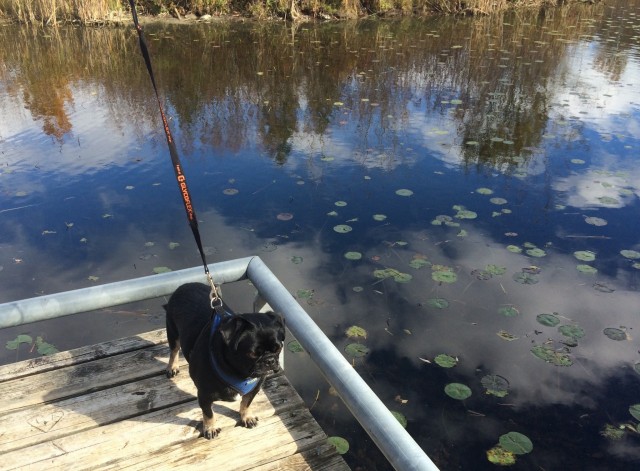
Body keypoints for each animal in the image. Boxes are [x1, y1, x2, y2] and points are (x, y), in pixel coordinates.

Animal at [165, 282, 284, 440]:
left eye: (278, 348)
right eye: (253, 354)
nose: (270, 360)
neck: (240, 374)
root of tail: (185, 285)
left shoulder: (254, 389)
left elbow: (246, 403)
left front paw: (247, 417)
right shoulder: (204, 396)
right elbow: (209, 414)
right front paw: (210, 428)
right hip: (172, 333)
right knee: (174, 350)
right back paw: (172, 367)